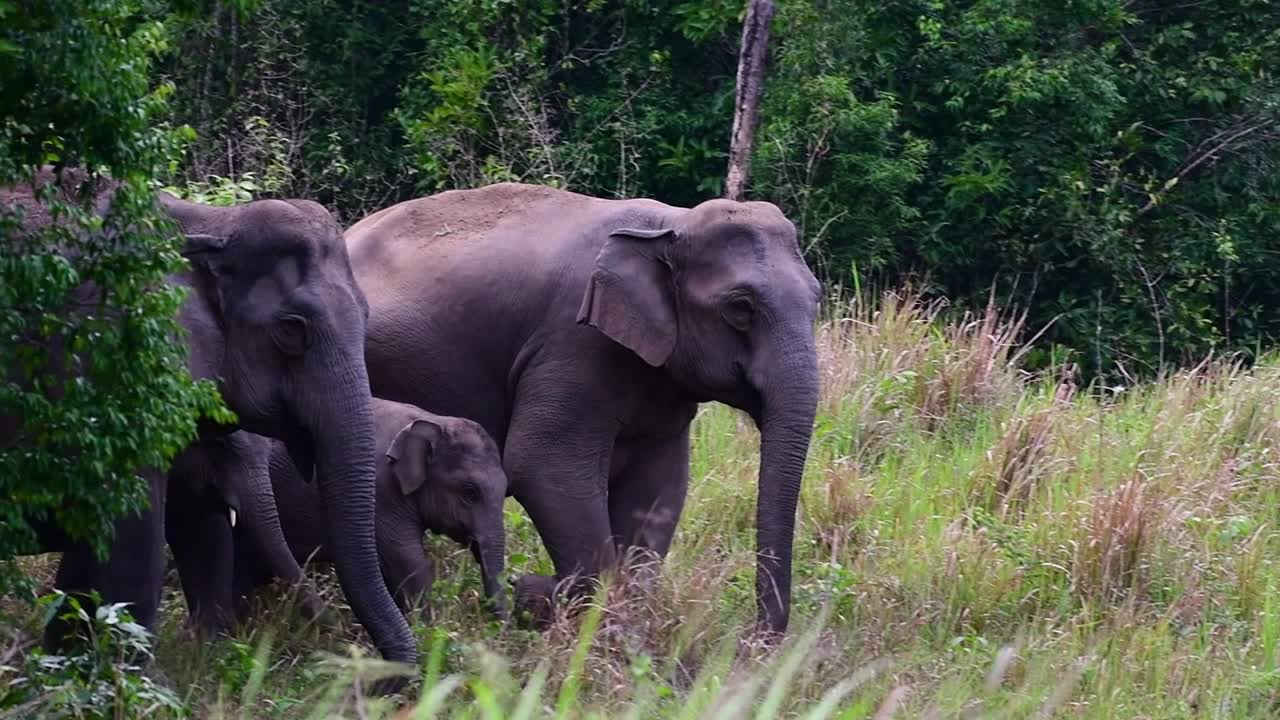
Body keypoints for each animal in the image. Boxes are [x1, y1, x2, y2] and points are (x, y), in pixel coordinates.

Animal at [0, 167, 417, 666]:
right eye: (292, 329)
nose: (366, 662)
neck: (209, 223)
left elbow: (202, 528)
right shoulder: (104, 358)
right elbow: (127, 540)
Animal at [344, 182, 821, 636]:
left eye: (817, 298)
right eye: (740, 308)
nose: (757, 641)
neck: (670, 223)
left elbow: (660, 485)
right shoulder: (571, 343)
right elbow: (542, 464)